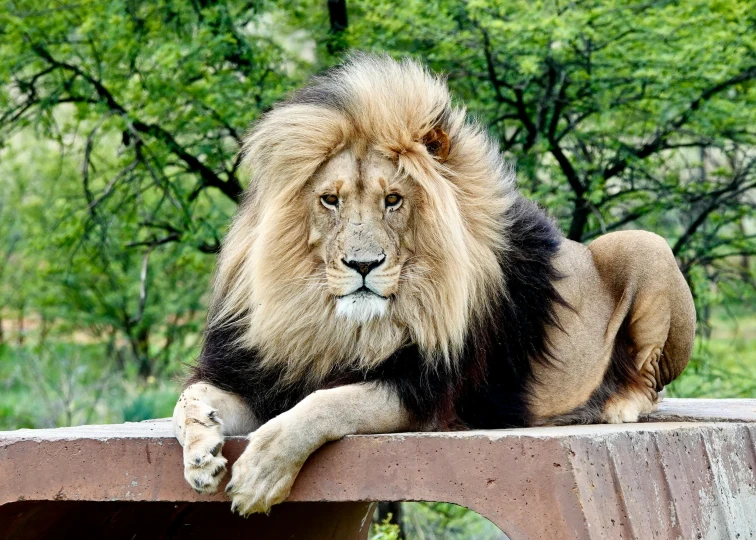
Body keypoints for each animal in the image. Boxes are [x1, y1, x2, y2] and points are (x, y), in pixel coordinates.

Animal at [173, 53, 696, 516]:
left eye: (393, 200)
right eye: (329, 200)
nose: (363, 264)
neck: (339, 325)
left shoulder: (423, 392)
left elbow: (325, 404)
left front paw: (260, 473)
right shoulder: (257, 373)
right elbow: (188, 401)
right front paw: (200, 455)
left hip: (647, 245)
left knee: (650, 385)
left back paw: (613, 405)